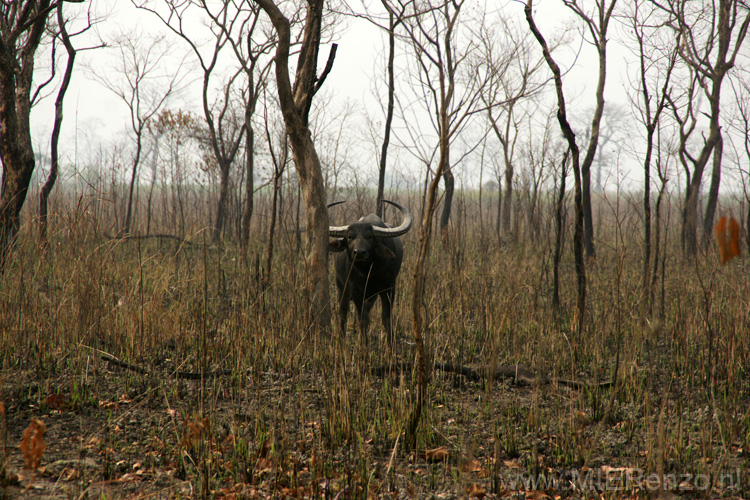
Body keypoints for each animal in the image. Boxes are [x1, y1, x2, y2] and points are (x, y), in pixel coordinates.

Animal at [328, 200, 414, 344]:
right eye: (349, 236)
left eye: (369, 236)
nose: (359, 252)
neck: (369, 271)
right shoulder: (355, 290)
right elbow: (362, 320)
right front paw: (364, 344)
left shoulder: (389, 288)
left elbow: (386, 318)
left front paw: (390, 343)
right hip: (341, 286)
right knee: (343, 312)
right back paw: (341, 337)